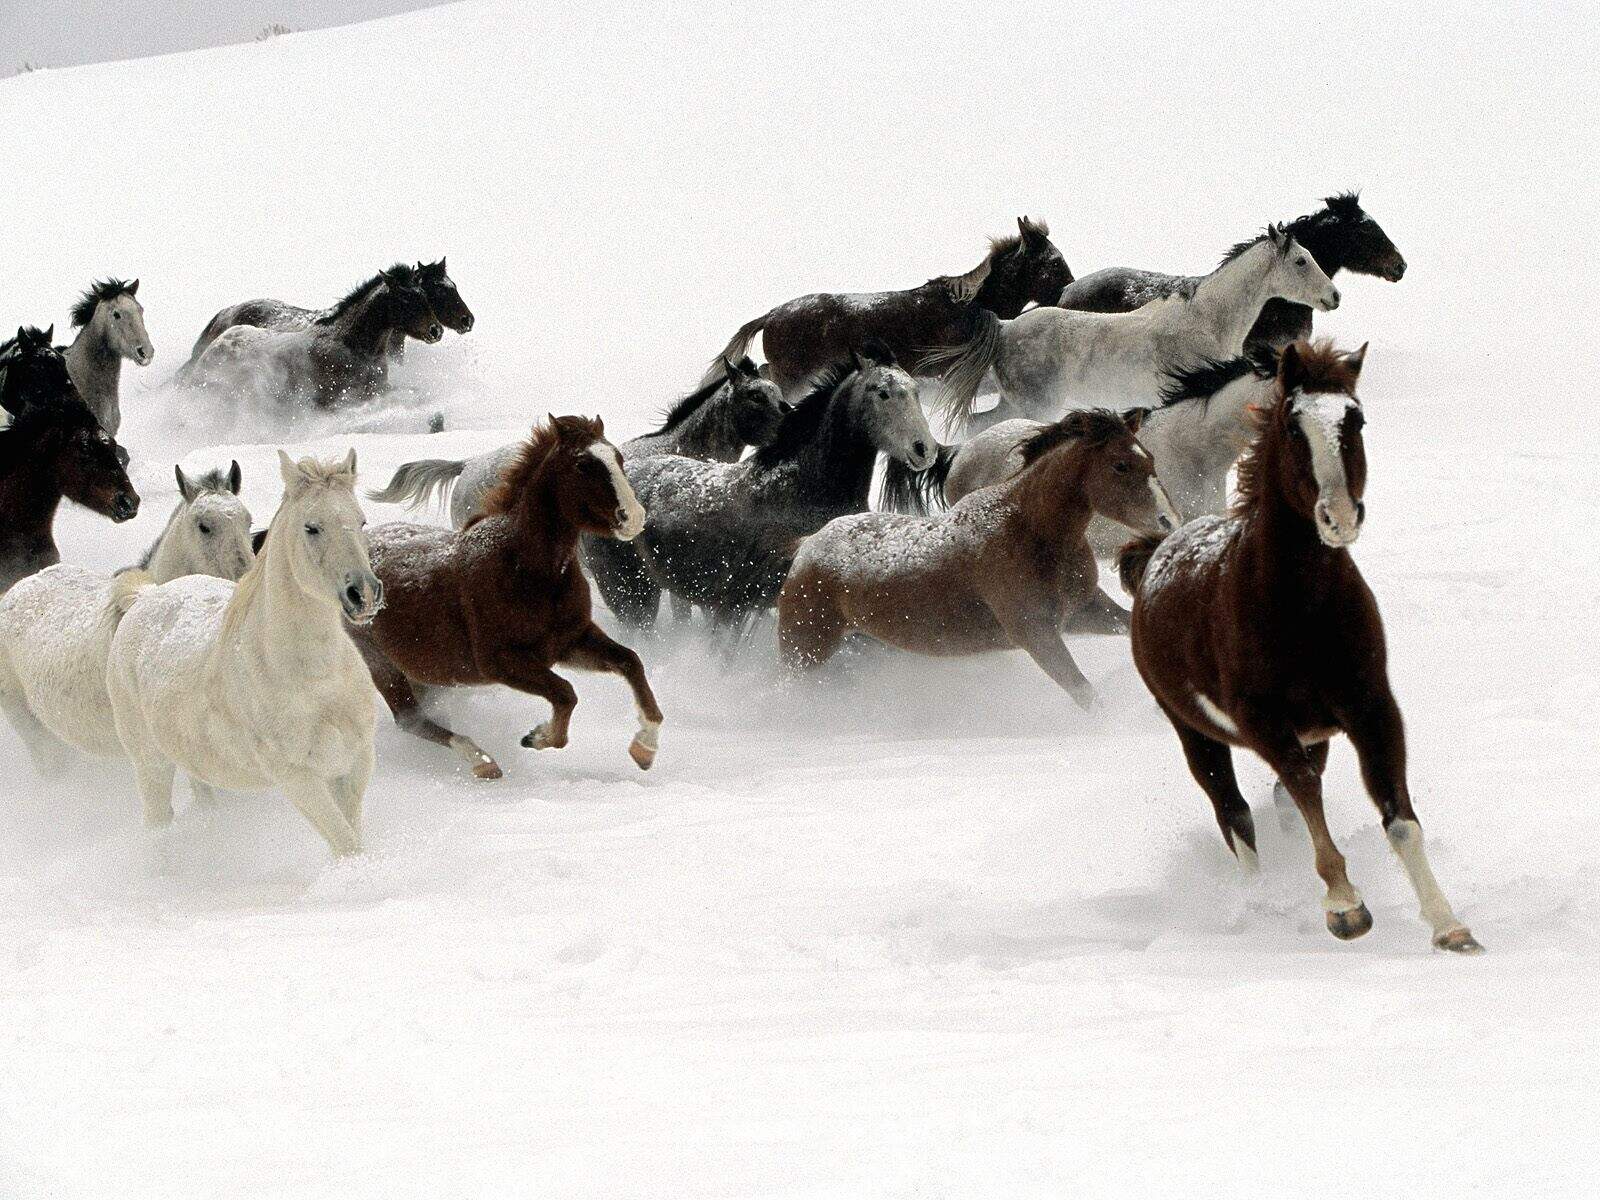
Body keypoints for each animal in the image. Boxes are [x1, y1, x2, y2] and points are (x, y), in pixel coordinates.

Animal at [106, 450, 382, 856]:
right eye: (311, 528)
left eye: (361, 520)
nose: (363, 594)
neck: (316, 679)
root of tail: (144, 597)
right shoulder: (298, 778)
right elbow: (347, 845)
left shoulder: (355, 764)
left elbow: (353, 838)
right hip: (150, 762)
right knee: (157, 821)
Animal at [349, 415, 662, 780]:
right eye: (583, 464)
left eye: (618, 458)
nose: (634, 517)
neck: (525, 570)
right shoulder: (501, 662)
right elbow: (565, 694)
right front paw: (538, 738)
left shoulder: (570, 641)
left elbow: (630, 662)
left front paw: (645, 748)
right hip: (381, 664)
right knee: (410, 720)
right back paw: (482, 761)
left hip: (424, 673)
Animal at [780, 410, 1179, 706]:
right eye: (1120, 465)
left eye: (1150, 458)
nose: (1169, 521)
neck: (1030, 531)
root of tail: (807, 546)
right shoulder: (1035, 632)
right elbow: (1085, 694)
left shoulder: (1083, 611)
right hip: (804, 651)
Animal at [928, 224, 1338, 432]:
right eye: (1301, 261)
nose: (1334, 296)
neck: (1206, 322)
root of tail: (1005, 329)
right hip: (1034, 406)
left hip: (1014, 404)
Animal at [1117, 340, 1481, 954]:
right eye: (1292, 427)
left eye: (1355, 419)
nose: (1340, 517)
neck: (1301, 609)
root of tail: (1155, 552)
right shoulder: (1264, 723)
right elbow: (1305, 794)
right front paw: (1345, 908)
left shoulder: (1371, 708)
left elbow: (1397, 814)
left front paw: (1450, 927)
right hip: (1194, 732)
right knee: (1235, 814)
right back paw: (1262, 903)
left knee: (1277, 805)